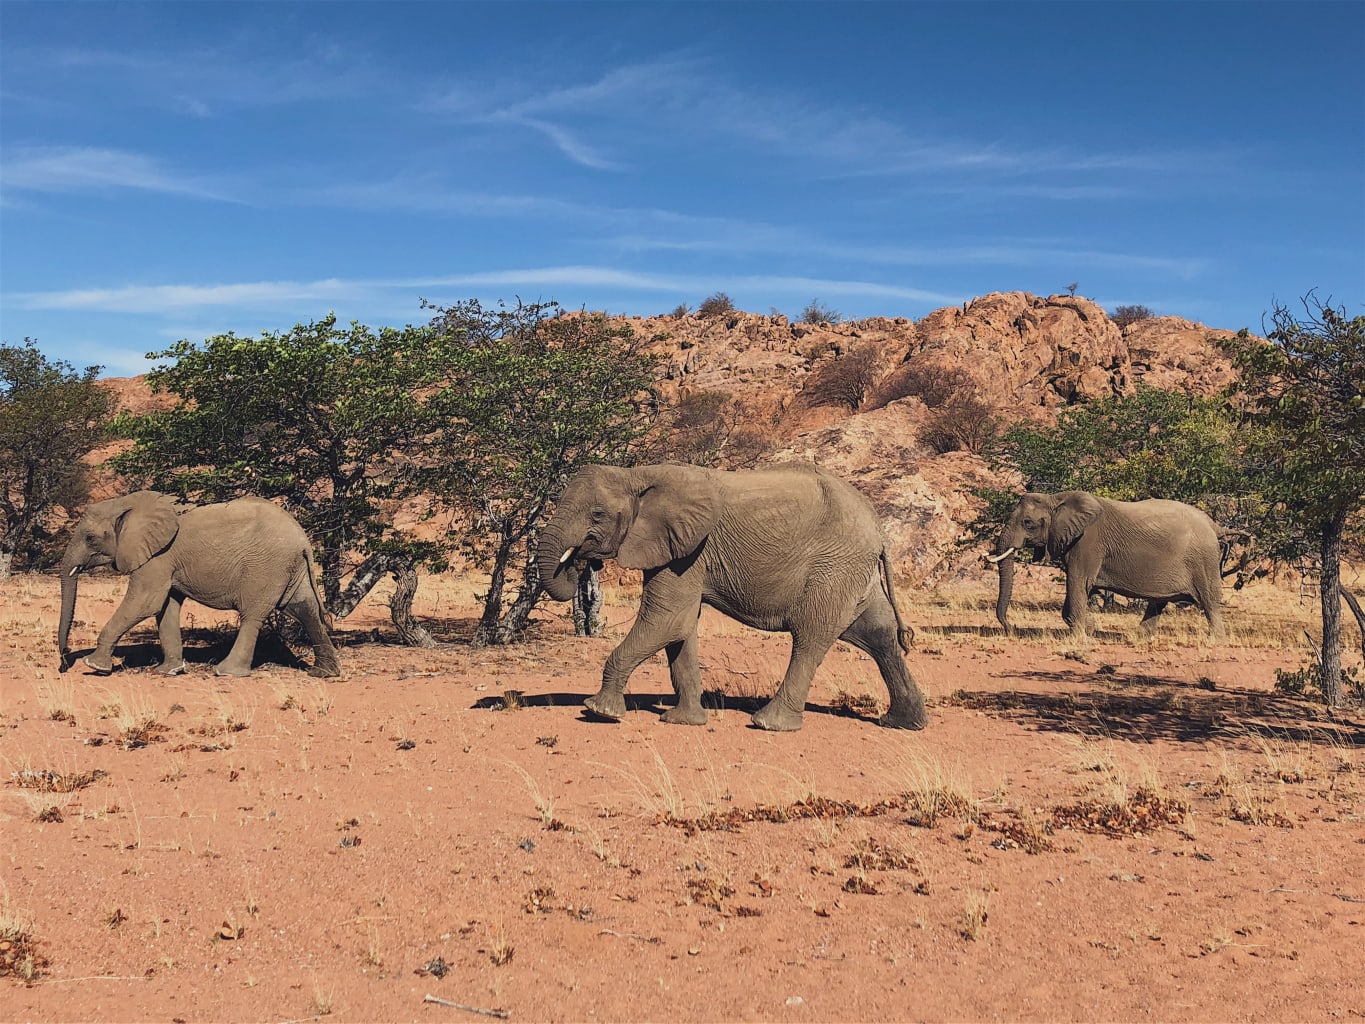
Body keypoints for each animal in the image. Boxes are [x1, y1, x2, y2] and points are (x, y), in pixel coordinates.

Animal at [57, 494, 339, 682]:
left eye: (90, 538)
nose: (64, 661)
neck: (129, 503)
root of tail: (303, 540)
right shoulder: (165, 560)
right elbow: (166, 607)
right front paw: (169, 671)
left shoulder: (158, 556)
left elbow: (145, 603)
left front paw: (95, 666)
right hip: (290, 568)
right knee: (306, 610)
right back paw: (323, 673)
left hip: (266, 566)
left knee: (253, 615)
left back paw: (226, 672)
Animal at [532, 461, 928, 731]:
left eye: (597, 515)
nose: (583, 562)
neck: (637, 474)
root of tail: (879, 529)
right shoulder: (678, 550)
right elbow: (680, 629)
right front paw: (684, 721)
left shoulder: (689, 550)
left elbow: (666, 621)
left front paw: (598, 711)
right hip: (855, 572)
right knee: (878, 634)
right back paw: (902, 723)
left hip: (835, 567)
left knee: (810, 636)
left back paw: (769, 724)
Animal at [993, 491, 1228, 641]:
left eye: (1028, 523)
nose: (1011, 628)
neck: (1056, 499)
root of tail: (1214, 525)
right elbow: (1077, 586)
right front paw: (1091, 628)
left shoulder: (1088, 542)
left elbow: (1078, 583)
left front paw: (1080, 637)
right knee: (1158, 602)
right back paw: (1138, 637)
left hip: (1203, 560)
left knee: (1209, 600)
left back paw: (1216, 640)